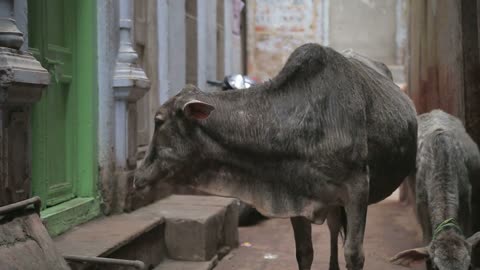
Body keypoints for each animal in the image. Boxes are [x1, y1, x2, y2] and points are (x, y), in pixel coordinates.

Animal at [134, 43, 416, 268]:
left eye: (158, 120)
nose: (137, 175)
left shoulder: (357, 189)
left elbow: (355, 254)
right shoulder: (294, 194)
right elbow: (304, 252)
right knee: (334, 227)